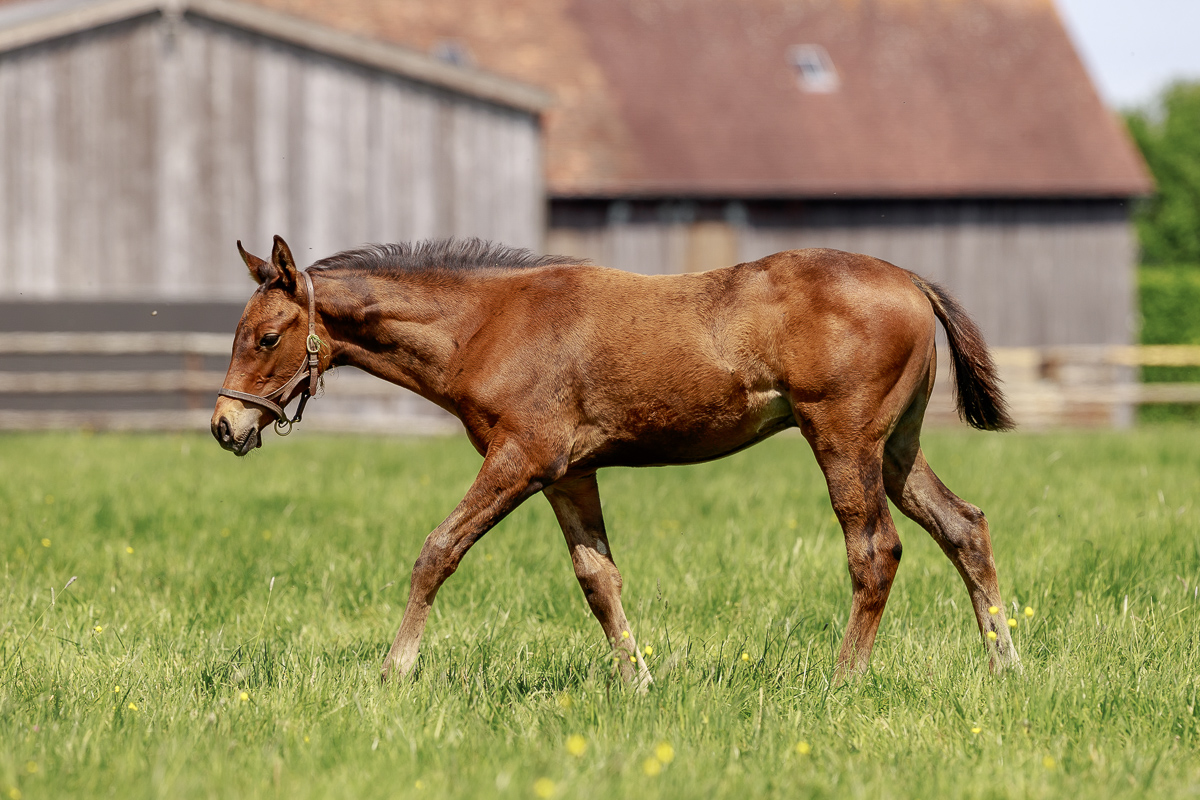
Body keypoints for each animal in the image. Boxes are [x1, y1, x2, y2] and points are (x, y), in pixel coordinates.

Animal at [212, 235, 1021, 685]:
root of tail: (910, 280)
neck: (487, 324)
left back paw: (843, 681)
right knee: (965, 527)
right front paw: (639, 683)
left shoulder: (521, 458)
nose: (224, 426)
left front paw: (392, 673)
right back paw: (1006, 666)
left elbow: (438, 551)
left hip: (843, 441)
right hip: (897, 447)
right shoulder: (569, 473)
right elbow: (598, 579)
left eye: (267, 336)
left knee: (875, 550)